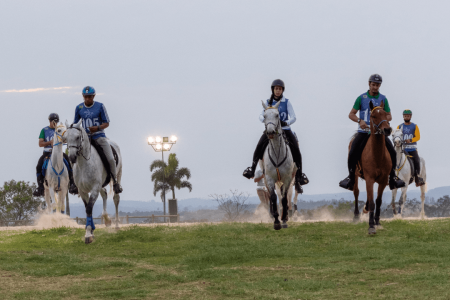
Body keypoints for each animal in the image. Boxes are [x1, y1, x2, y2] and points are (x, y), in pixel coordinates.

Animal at [262, 101, 298, 230]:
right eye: (264, 116)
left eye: (277, 115)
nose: (270, 132)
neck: (277, 151)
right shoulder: (269, 178)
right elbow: (273, 197)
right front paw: (276, 222)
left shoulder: (287, 179)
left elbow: (284, 198)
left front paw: (284, 220)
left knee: (285, 196)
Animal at [352, 101, 390, 234]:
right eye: (373, 116)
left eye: (386, 114)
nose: (387, 129)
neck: (377, 155)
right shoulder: (369, 179)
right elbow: (372, 201)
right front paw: (371, 226)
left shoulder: (383, 180)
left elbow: (378, 201)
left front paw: (377, 222)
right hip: (355, 175)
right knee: (356, 192)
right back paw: (356, 216)